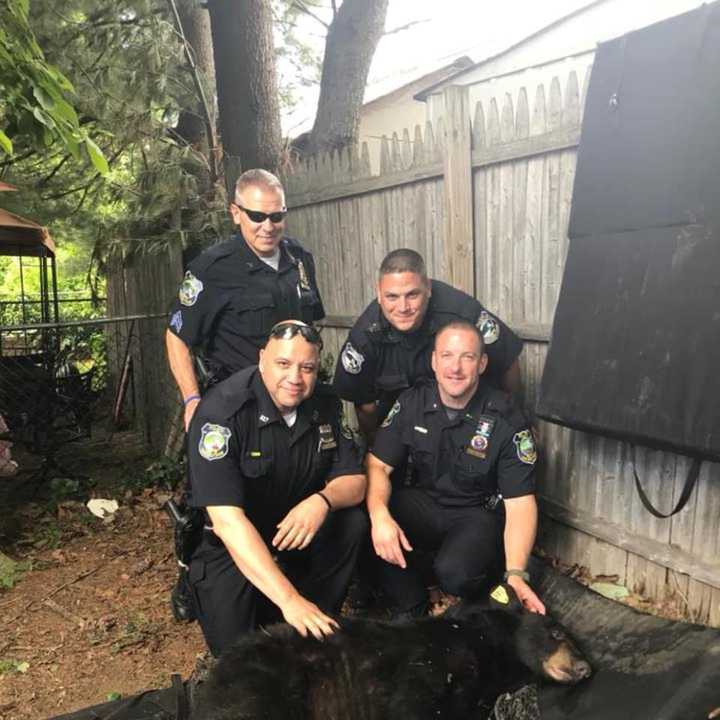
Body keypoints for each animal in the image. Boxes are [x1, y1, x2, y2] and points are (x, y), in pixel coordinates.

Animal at [191, 584, 592, 720]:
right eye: (557, 632)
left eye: (577, 639)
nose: (585, 667)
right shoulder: (426, 661)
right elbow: (413, 702)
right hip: (264, 686)